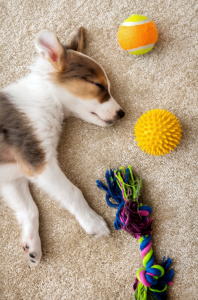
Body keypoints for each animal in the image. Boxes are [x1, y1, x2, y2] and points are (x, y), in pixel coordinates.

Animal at [0, 27, 125, 264]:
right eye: (97, 85)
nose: (122, 113)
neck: (46, 99)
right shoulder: (39, 161)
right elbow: (73, 192)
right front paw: (93, 222)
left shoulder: (11, 177)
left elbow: (30, 209)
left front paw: (32, 245)